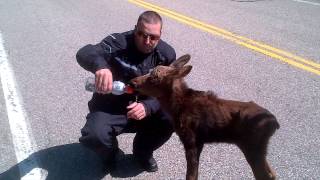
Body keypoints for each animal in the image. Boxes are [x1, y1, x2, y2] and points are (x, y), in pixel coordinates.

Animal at [130, 54, 280, 180]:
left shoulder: (191, 141)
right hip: (257, 149)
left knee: (264, 175)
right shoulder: (200, 142)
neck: (175, 107)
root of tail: (275, 123)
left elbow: (191, 175)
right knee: (272, 173)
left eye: (154, 78)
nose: (132, 82)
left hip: (253, 148)